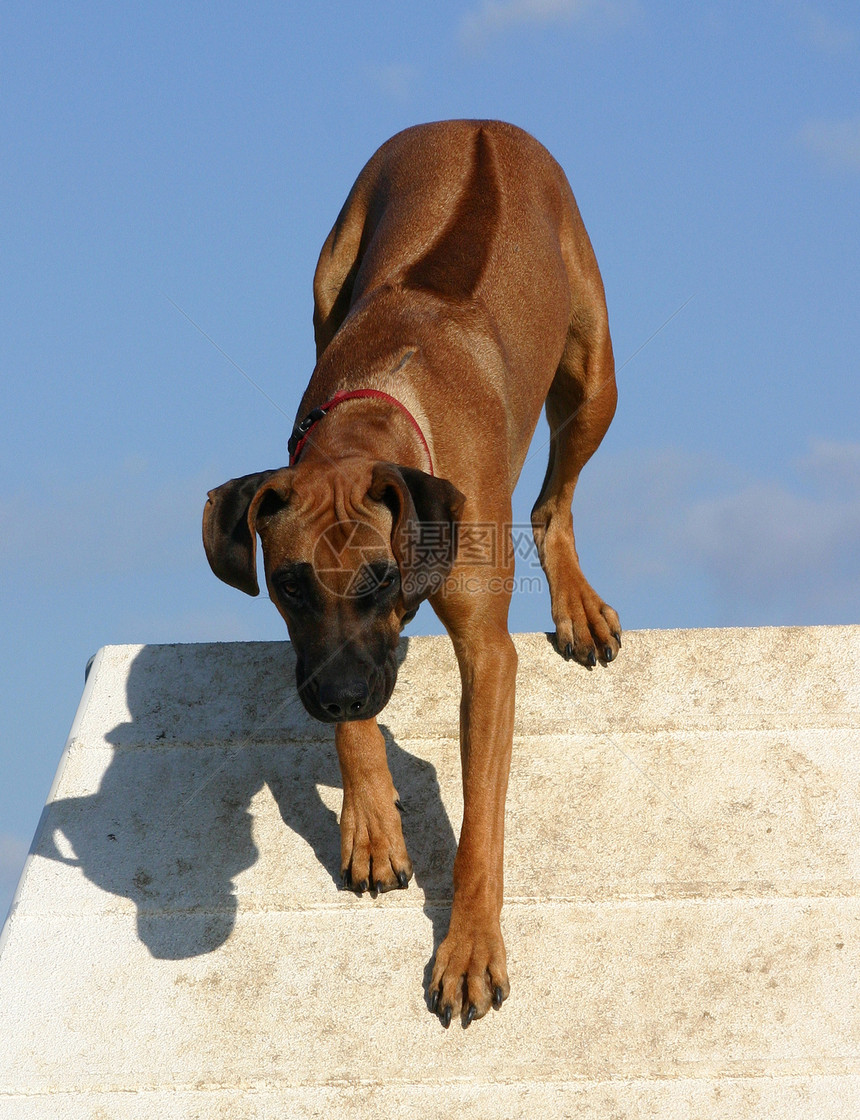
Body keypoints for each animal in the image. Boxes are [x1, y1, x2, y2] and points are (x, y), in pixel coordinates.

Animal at [203, 120, 618, 1025]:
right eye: (289, 585)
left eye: (380, 580)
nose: (335, 697)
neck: (378, 412)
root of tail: (475, 121)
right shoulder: (325, 647)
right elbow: (357, 723)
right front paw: (369, 821)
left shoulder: (489, 658)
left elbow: (481, 829)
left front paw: (469, 949)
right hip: (330, 275)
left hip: (594, 372)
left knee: (555, 499)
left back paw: (576, 603)